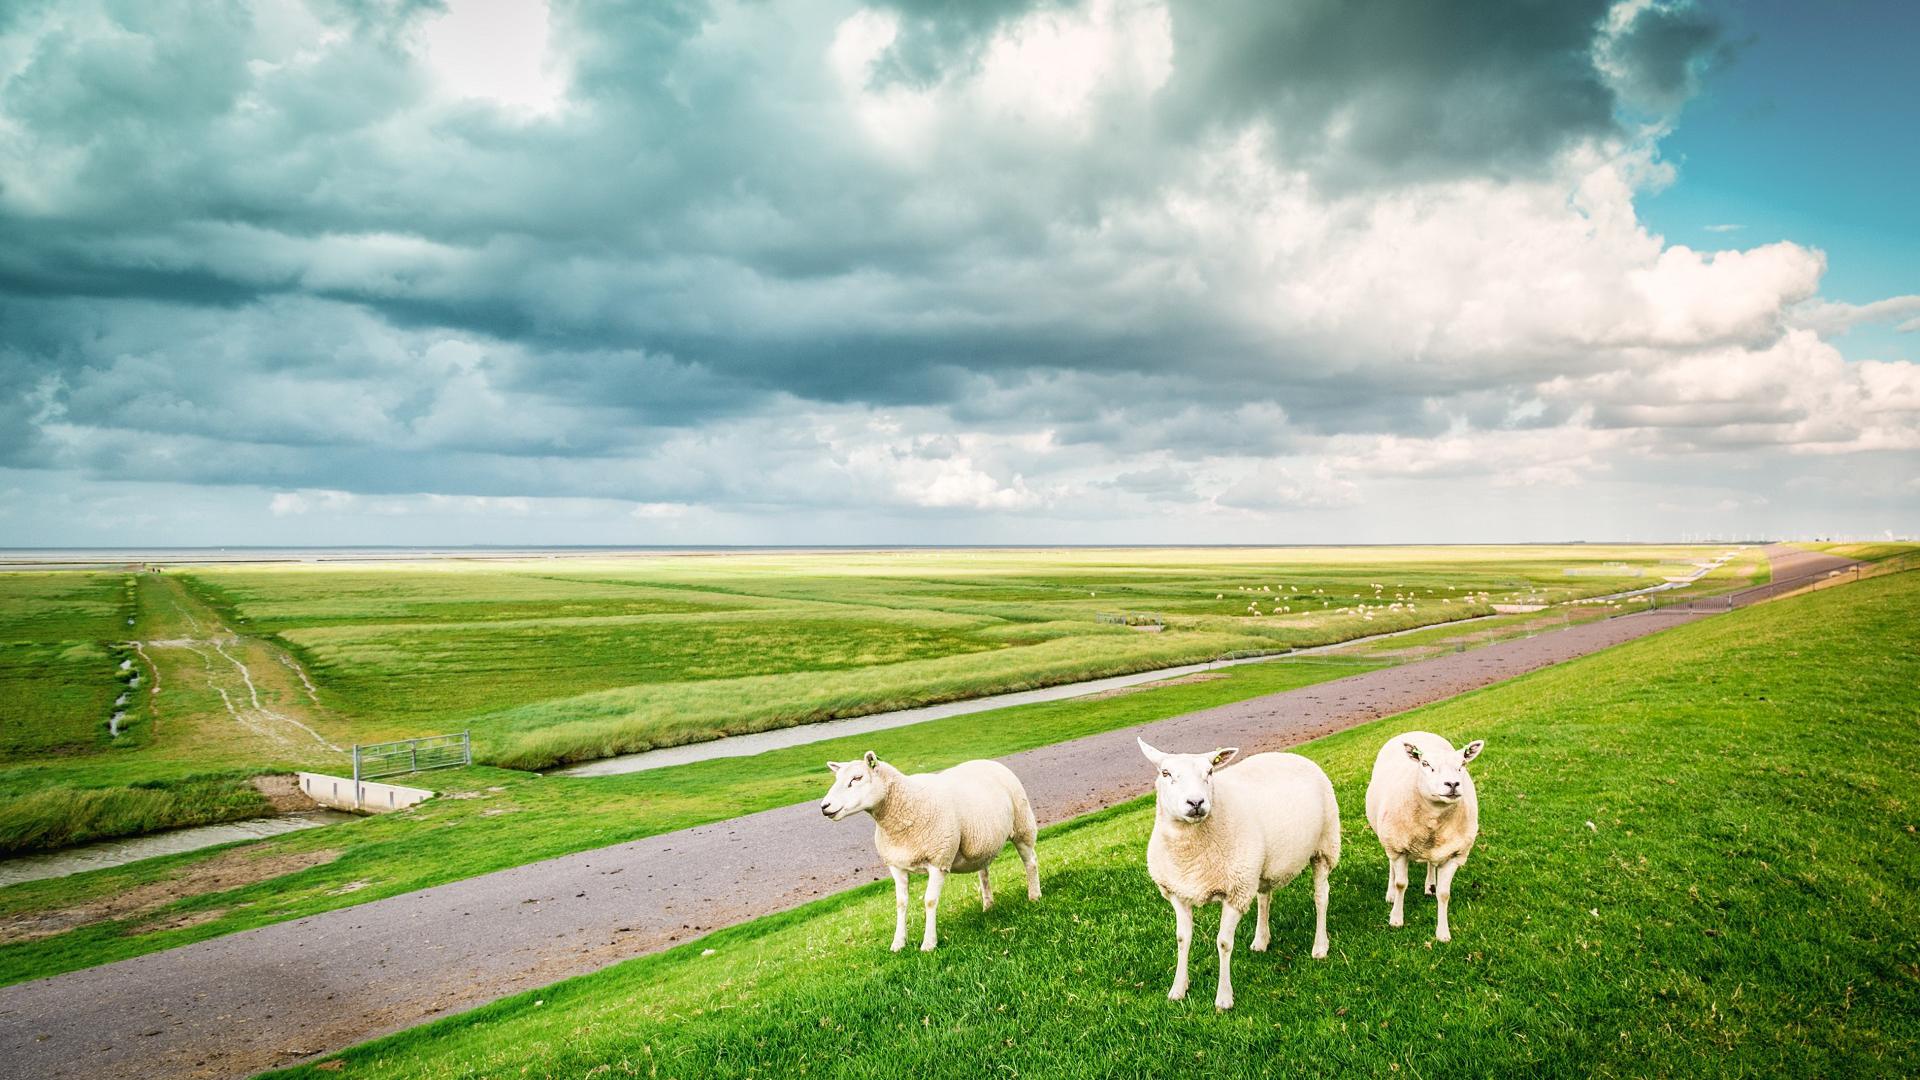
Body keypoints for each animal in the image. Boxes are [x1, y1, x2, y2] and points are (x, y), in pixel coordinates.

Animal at [817, 749, 1044, 949]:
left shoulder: (938, 860)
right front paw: (898, 943)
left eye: (857, 778)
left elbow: (930, 901)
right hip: (981, 842)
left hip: (1022, 825)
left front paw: (929, 943)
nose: (824, 806)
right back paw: (988, 906)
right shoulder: (896, 866)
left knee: (1030, 862)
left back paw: (1034, 895)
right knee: (984, 873)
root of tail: (989, 762)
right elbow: (900, 903)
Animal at [1128, 734, 1344, 1006]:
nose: (1196, 802)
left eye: (1210, 772)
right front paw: (1178, 989)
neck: (1190, 856)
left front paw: (1223, 997)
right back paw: (1261, 940)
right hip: (1259, 866)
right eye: (1165, 773)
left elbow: (1223, 943)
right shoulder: (1178, 892)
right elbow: (1182, 939)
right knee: (1264, 897)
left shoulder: (1235, 892)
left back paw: (1320, 946)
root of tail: (1292, 755)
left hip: (1325, 846)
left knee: (1321, 896)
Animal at [1367, 726, 1482, 937]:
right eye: (1425, 763)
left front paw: (1443, 933)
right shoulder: (1398, 848)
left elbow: (1445, 894)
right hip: (1388, 837)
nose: (1452, 784)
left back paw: (1430, 885)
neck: (1434, 818)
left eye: (1462, 763)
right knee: (1391, 865)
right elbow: (1401, 884)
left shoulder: (1455, 854)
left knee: (1430, 863)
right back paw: (1390, 894)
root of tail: (1416, 731)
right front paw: (1396, 918)